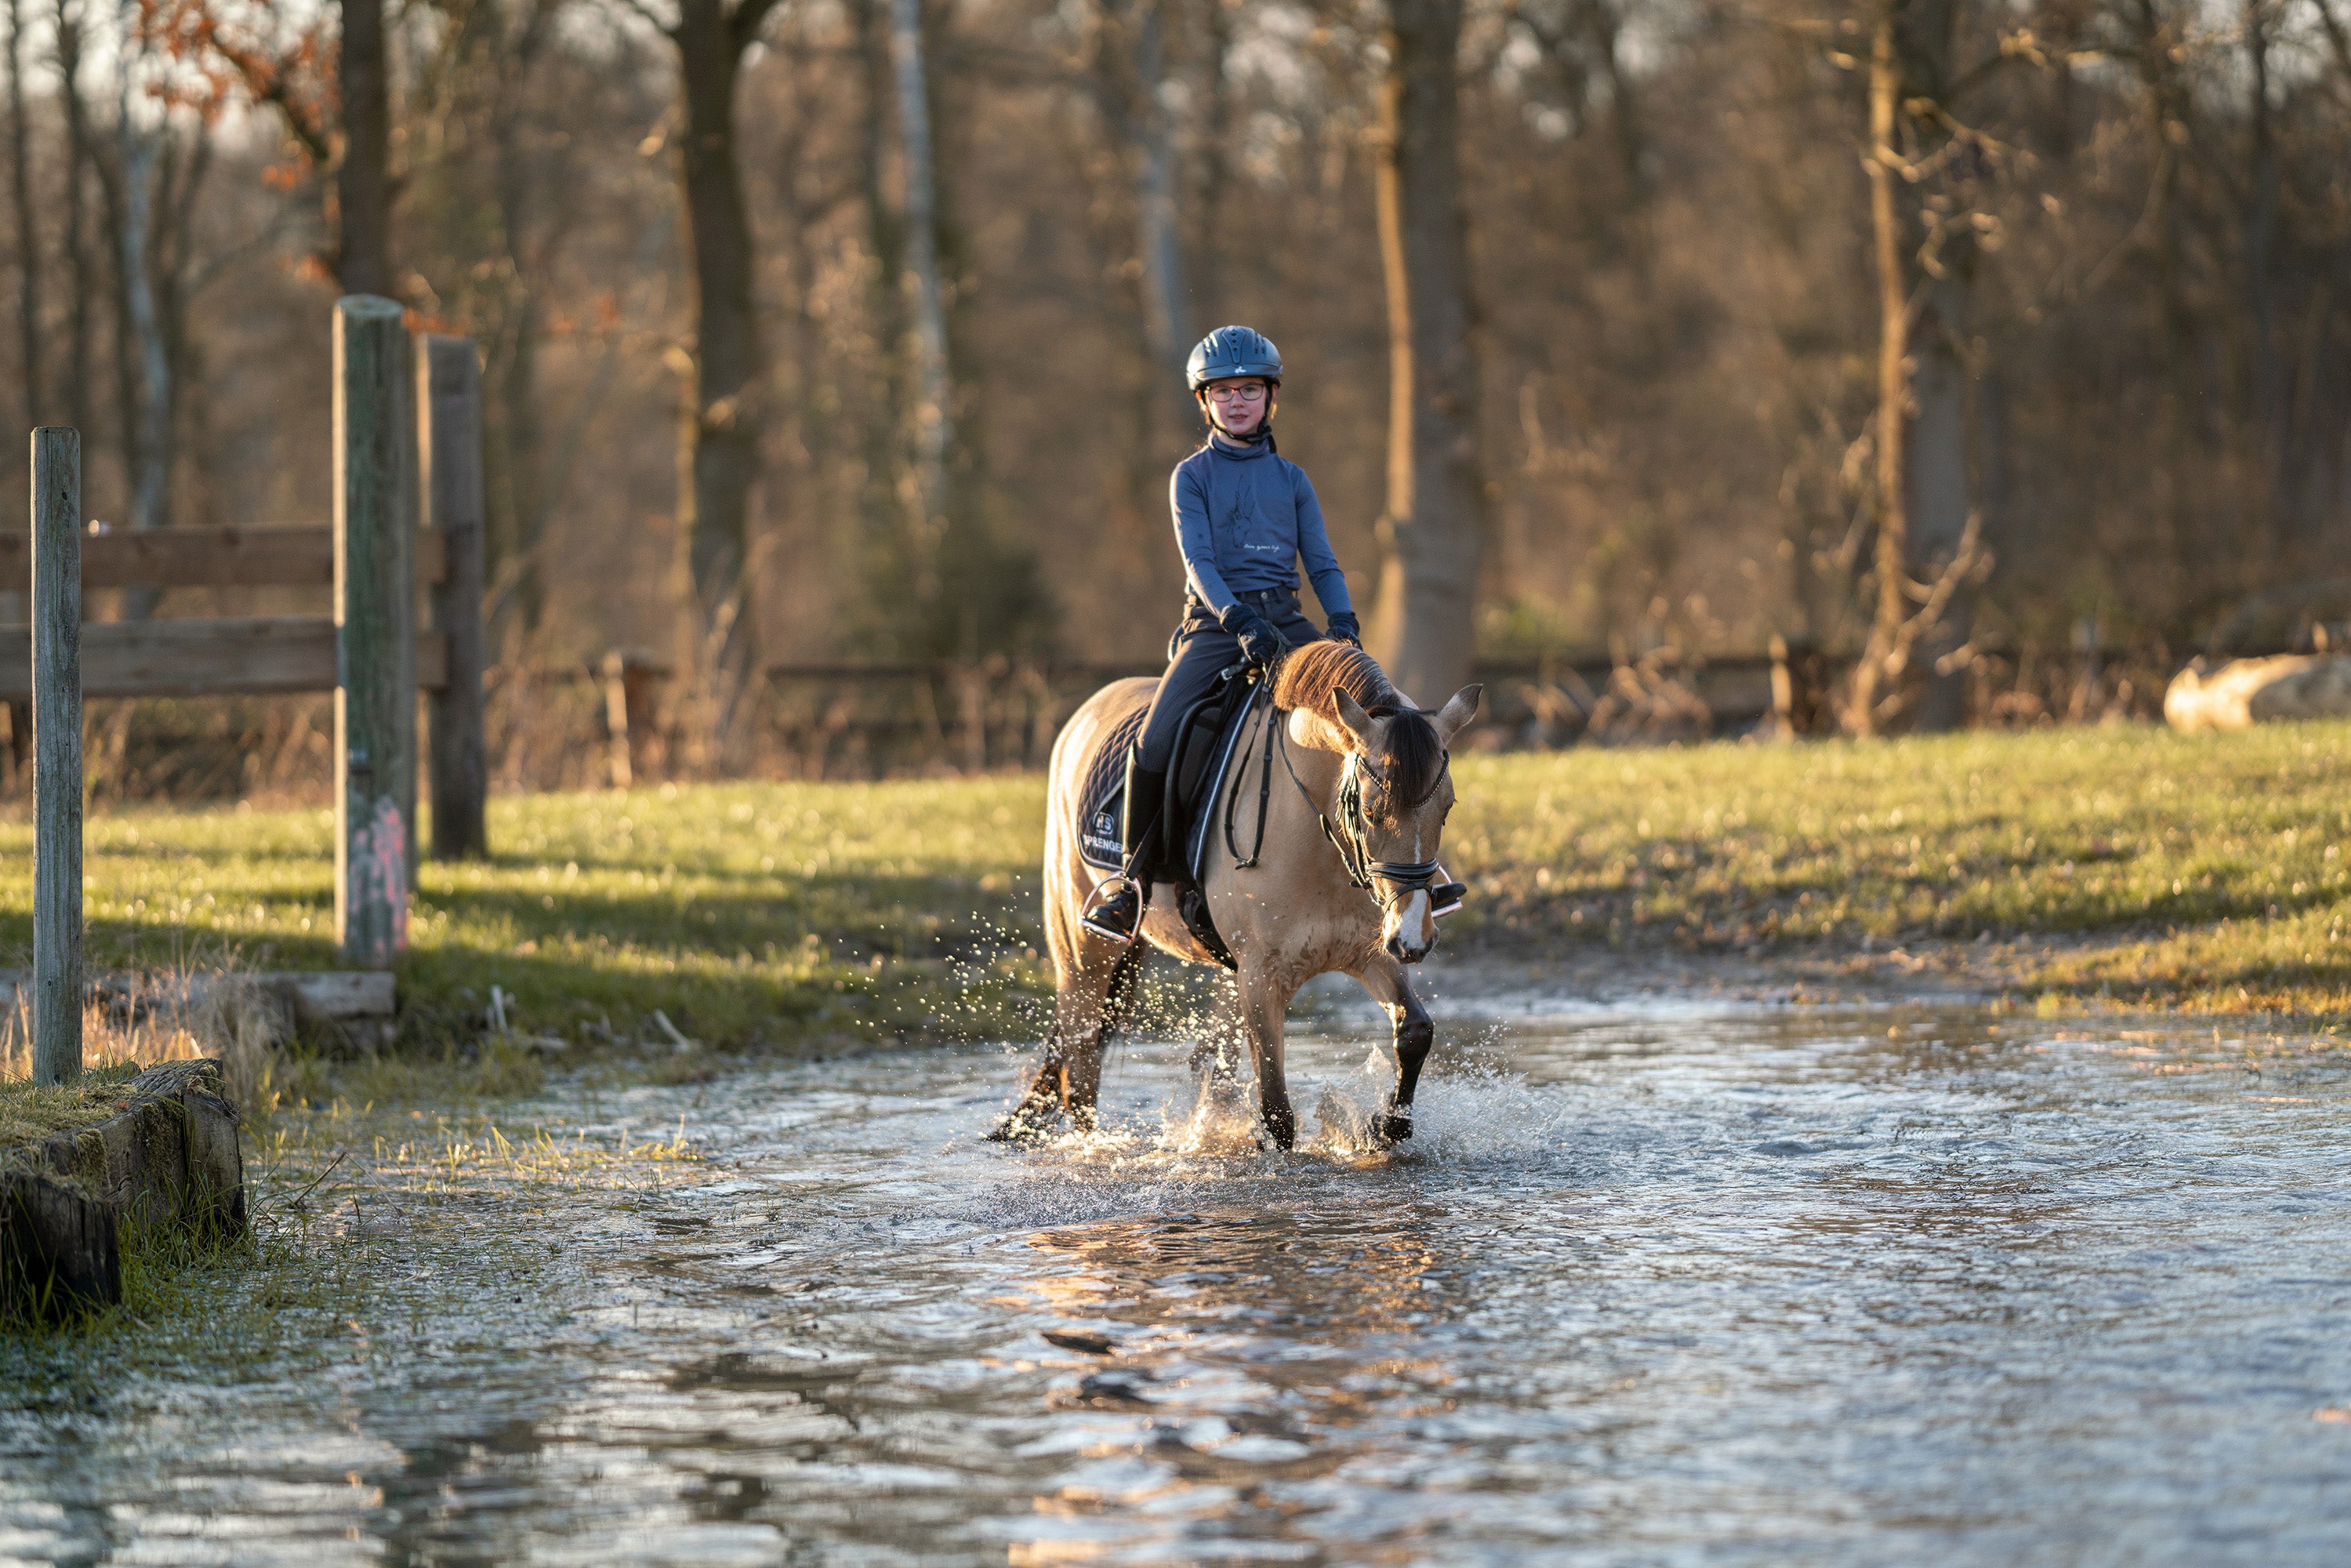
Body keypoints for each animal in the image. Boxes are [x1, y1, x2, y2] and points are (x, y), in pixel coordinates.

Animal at [996, 639, 1486, 1152]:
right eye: (1369, 810)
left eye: (1447, 807)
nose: (1414, 938)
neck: (1317, 845)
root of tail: (1085, 715)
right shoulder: (1261, 979)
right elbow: (1277, 1114)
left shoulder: (1370, 953)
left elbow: (1415, 1032)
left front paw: (1389, 1126)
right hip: (1083, 949)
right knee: (1081, 1065)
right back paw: (1095, 1146)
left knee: (1202, 1060)